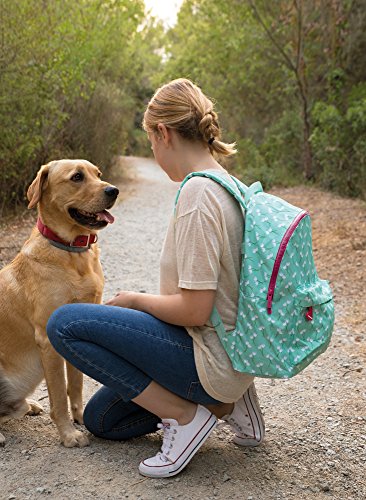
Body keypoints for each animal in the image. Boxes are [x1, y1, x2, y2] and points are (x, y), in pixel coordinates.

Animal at [0, 159, 118, 446]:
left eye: (98, 174)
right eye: (76, 177)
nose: (114, 190)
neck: (72, 251)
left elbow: (75, 385)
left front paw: (80, 418)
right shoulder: (47, 340)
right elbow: (58, 396)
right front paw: (68, 434)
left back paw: (30, 406)